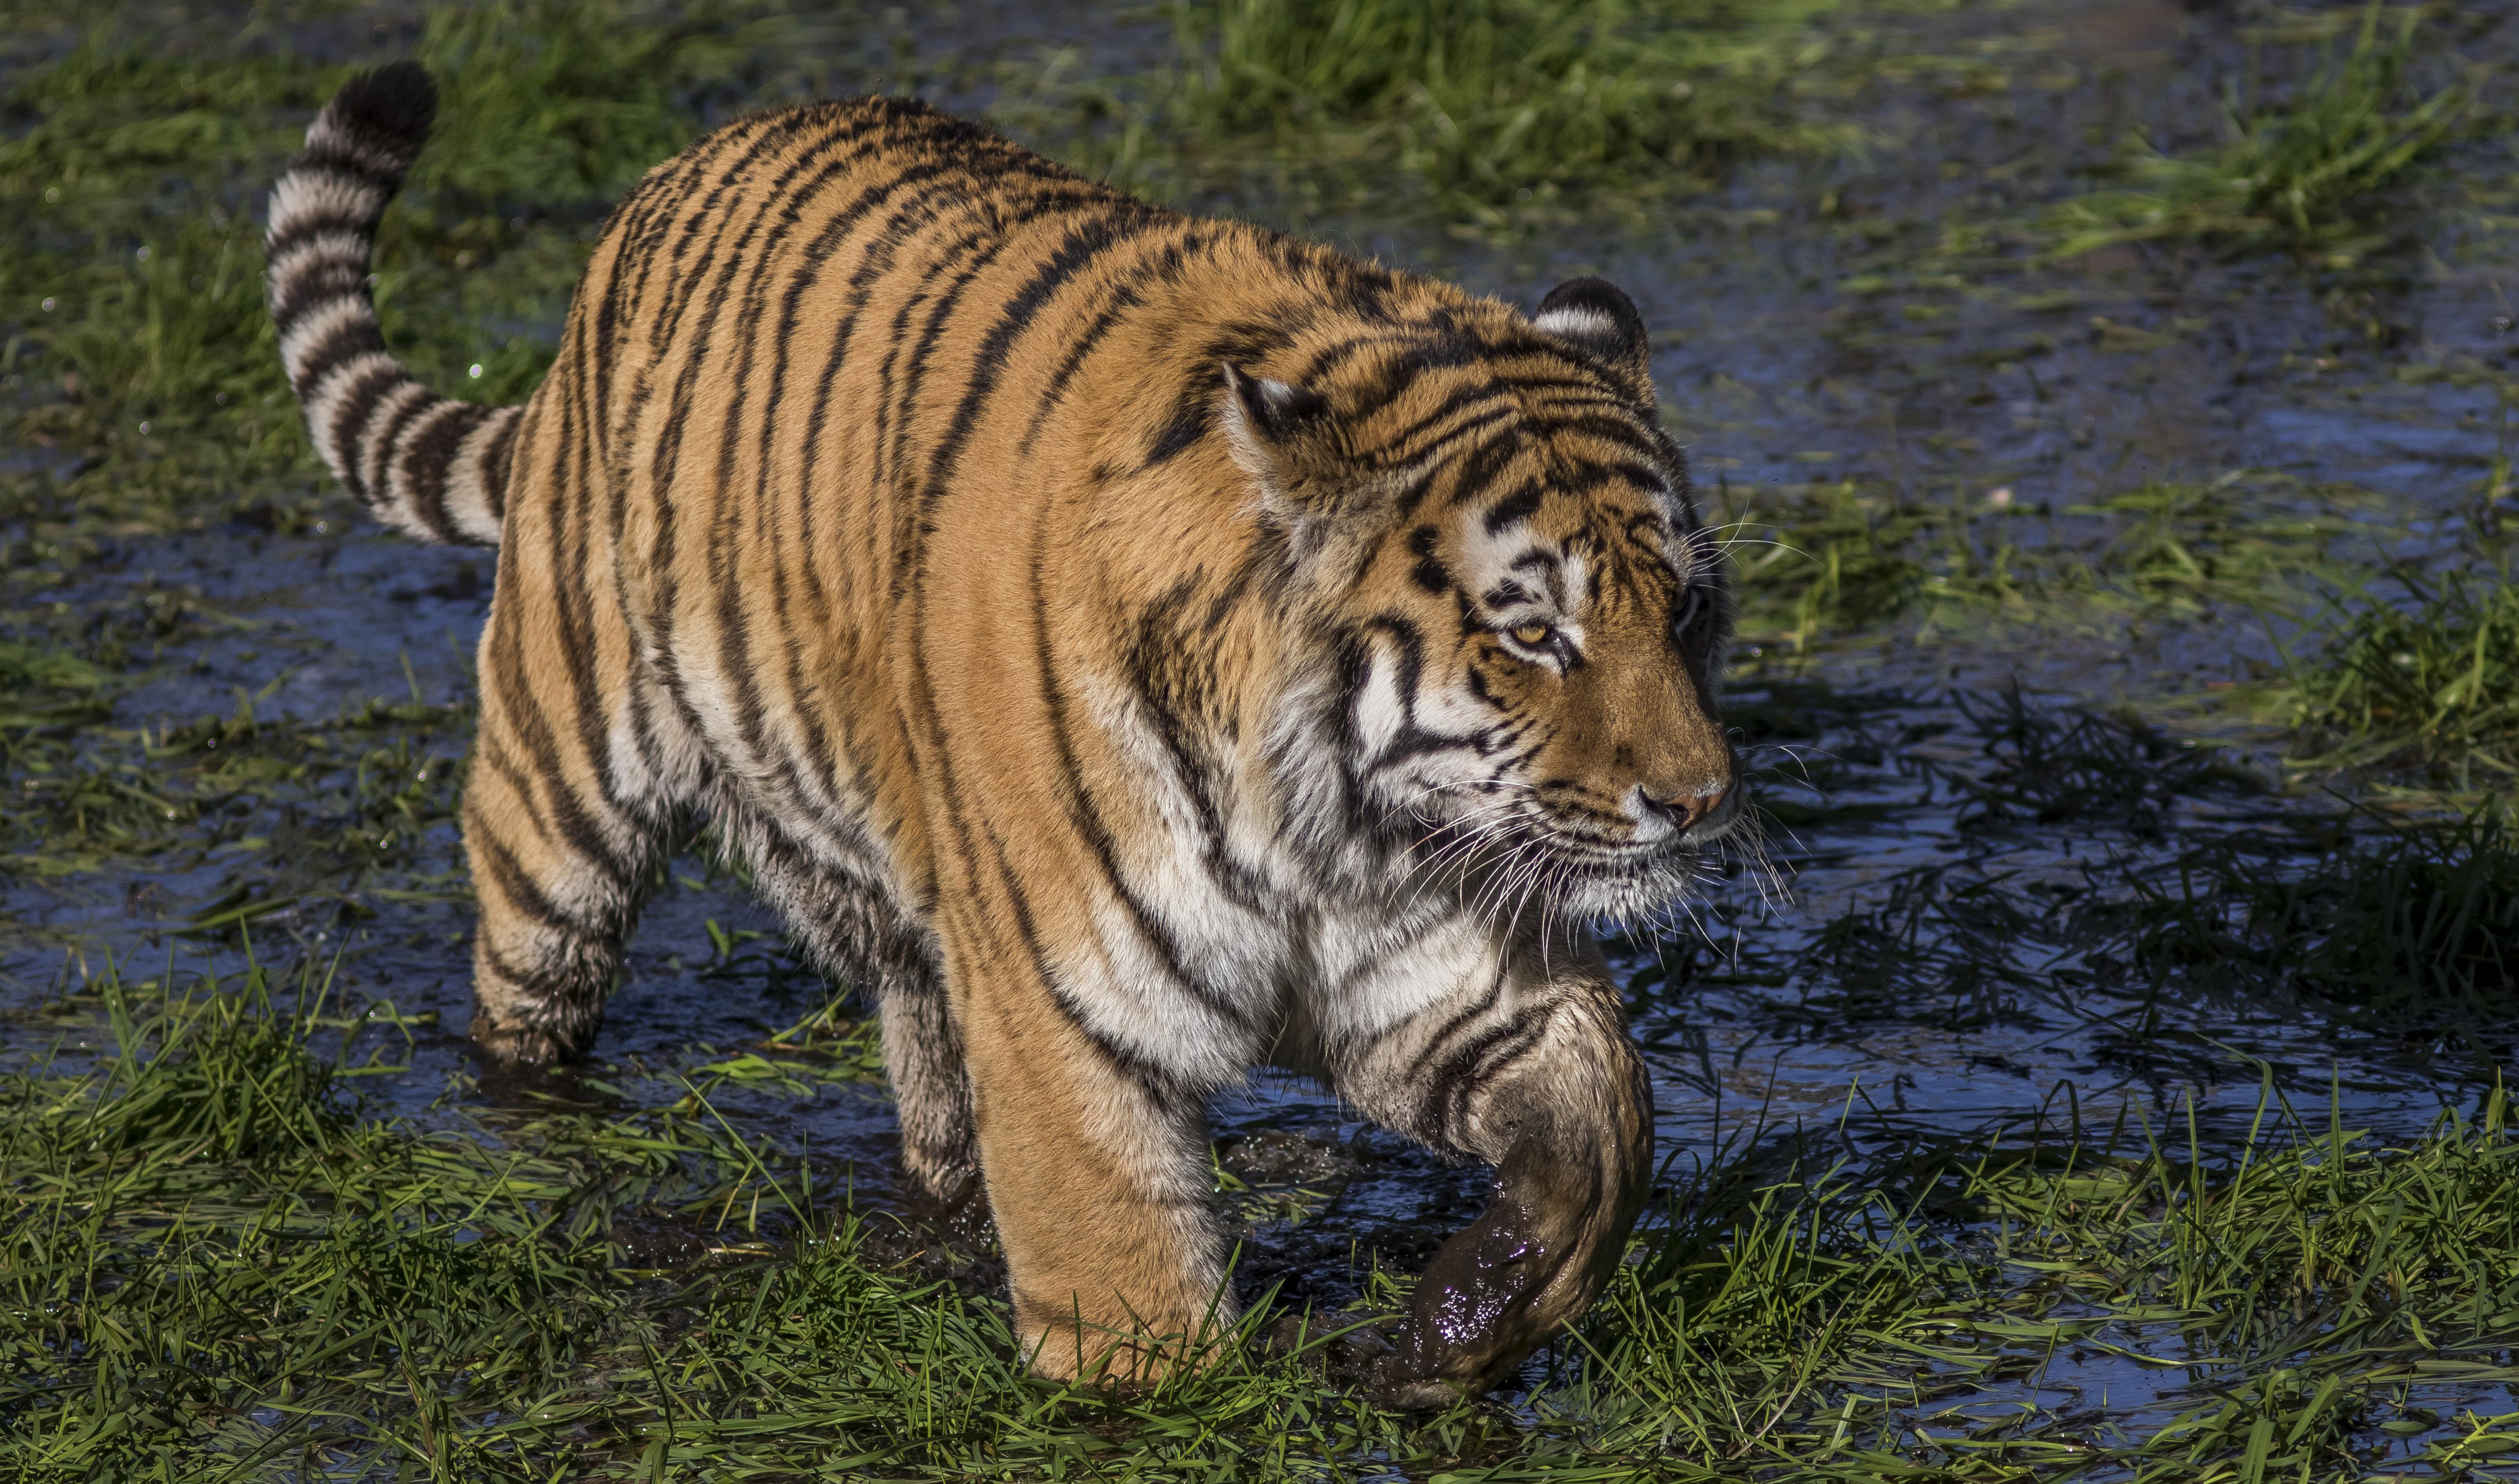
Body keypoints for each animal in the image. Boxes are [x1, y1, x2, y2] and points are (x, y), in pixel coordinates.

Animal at [266, 58, 1743, 1400]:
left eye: (1683, 608)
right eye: (1531, 635)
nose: (1697, 800)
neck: (1335, 825)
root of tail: (677, 175)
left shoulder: (1435, 967)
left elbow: (1601, 1116)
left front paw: (1458, 1328)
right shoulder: (1063, 1015)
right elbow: (1133, 1314)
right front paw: (1168, 1401)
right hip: (561, 795)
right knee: (523, 1001)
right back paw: (539, 1154)